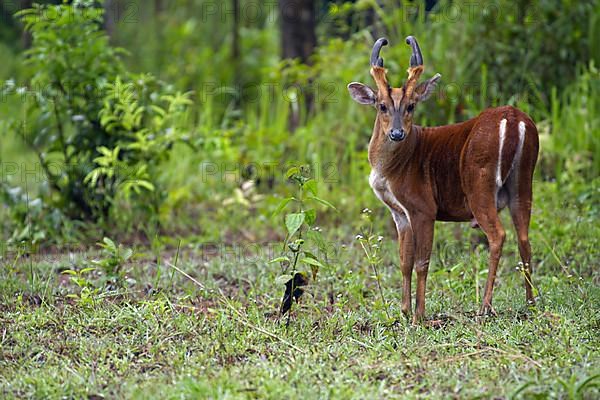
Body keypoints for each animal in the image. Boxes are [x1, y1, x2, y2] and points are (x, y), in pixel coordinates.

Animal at [346, 37, 540, 324]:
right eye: (381, 105)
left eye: (411, 105)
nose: (396, 133)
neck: (393, 168)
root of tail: (513, 120)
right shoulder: (400, 213)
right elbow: (404, 260)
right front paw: (404, 310)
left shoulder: (423, 207)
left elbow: (421, 262)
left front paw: (418, 315)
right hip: (523, 181)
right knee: (524, 238)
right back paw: (530, 303)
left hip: (479, 183)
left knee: (498, 235)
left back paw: (485, 306)